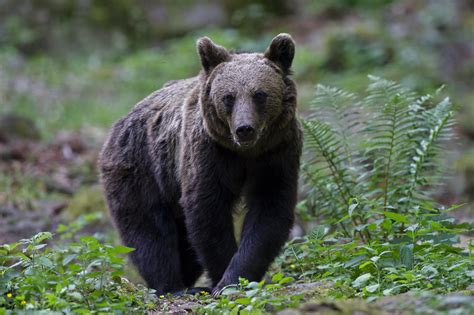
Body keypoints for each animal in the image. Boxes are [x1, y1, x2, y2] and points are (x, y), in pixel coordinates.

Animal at [98, 34, 302, 296]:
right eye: (228, 97)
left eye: (259, 94)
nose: (244, 128)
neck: (245, 152)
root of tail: (119, 123)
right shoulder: (209, 153)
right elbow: (207, 211)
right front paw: (224, 278)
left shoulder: (276, 154)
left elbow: (269, 211)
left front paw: (238, 276)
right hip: (141, 168)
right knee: (150, 232)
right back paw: (172, 286)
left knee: (183, 241)